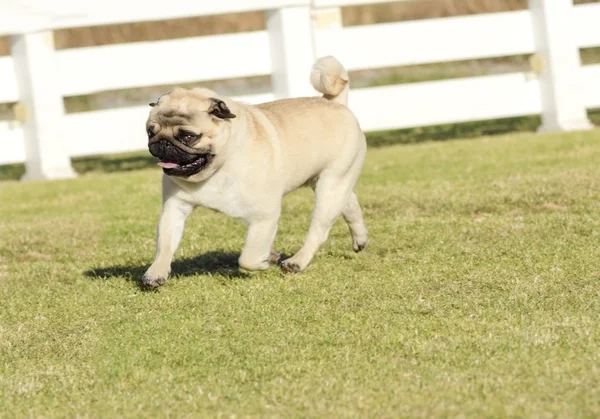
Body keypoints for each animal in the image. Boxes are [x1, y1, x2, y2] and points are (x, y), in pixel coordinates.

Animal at [143, 55, 368, 288]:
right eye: (150, 132)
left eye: (188, 136)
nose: (162, 143)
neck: (218, 166)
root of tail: (335, 102)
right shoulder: (174, 209)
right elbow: (165, 244)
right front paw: (156, 272)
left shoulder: (263, 216)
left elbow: (248, 257)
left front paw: (265, 260)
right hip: (331, 183)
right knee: (350, 203)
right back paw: (359, 240)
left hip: (330, 186)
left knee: (319, 229)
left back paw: (296, 262)